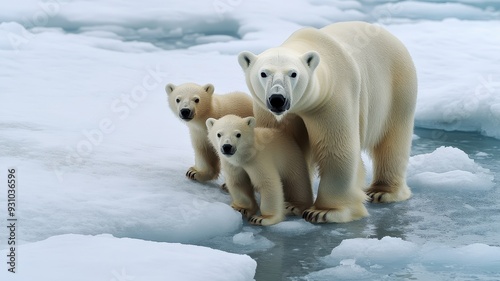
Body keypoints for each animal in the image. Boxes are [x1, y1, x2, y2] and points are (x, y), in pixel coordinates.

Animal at [236, 21, 416, 222]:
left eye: (293, 74)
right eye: (263, 73)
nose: (277, 99)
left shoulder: (330, 101)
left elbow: (335, 149)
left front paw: (323, 211)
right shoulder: (271, 112)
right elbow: (286, 147)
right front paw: (291, 205)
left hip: (397, 89)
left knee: (393, 140)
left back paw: (382, 192)